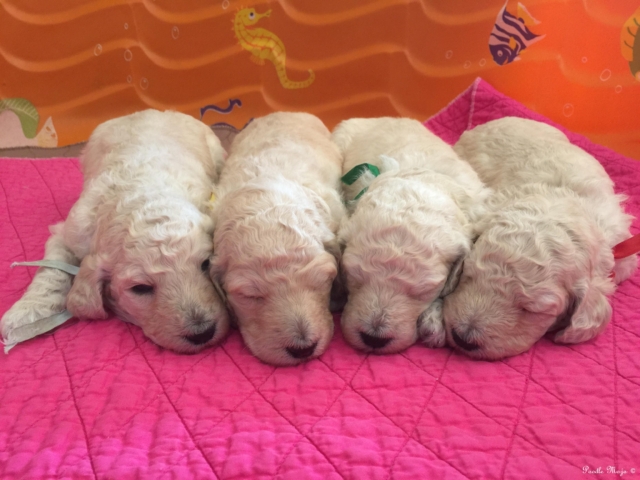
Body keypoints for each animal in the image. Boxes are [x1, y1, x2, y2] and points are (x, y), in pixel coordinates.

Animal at [0, 111, 230, 352]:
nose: (202, 332)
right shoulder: (72, 232)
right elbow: (53, 269)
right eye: (140, 288)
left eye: (205, 264)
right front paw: (28, 312)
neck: (141, 197)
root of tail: (147, 111)